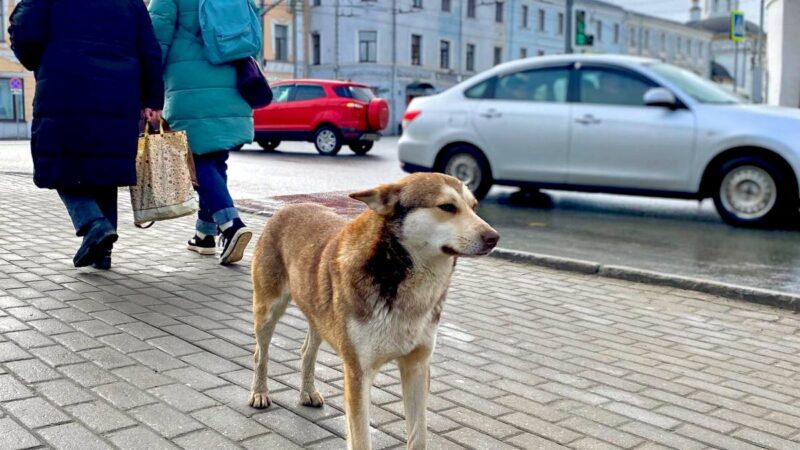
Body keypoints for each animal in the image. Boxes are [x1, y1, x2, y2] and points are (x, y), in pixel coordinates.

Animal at [250, 172, 500, 446]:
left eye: (474, 207)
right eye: (447, 207)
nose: (494, 237)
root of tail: (288, 207)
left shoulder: (417, 367)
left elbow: (418, 436)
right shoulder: (358, 374)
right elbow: (360, 438)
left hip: (319, 317)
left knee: (307, 352)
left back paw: (308, 392)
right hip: (267, 312)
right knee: (260, 355)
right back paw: (259, 393)